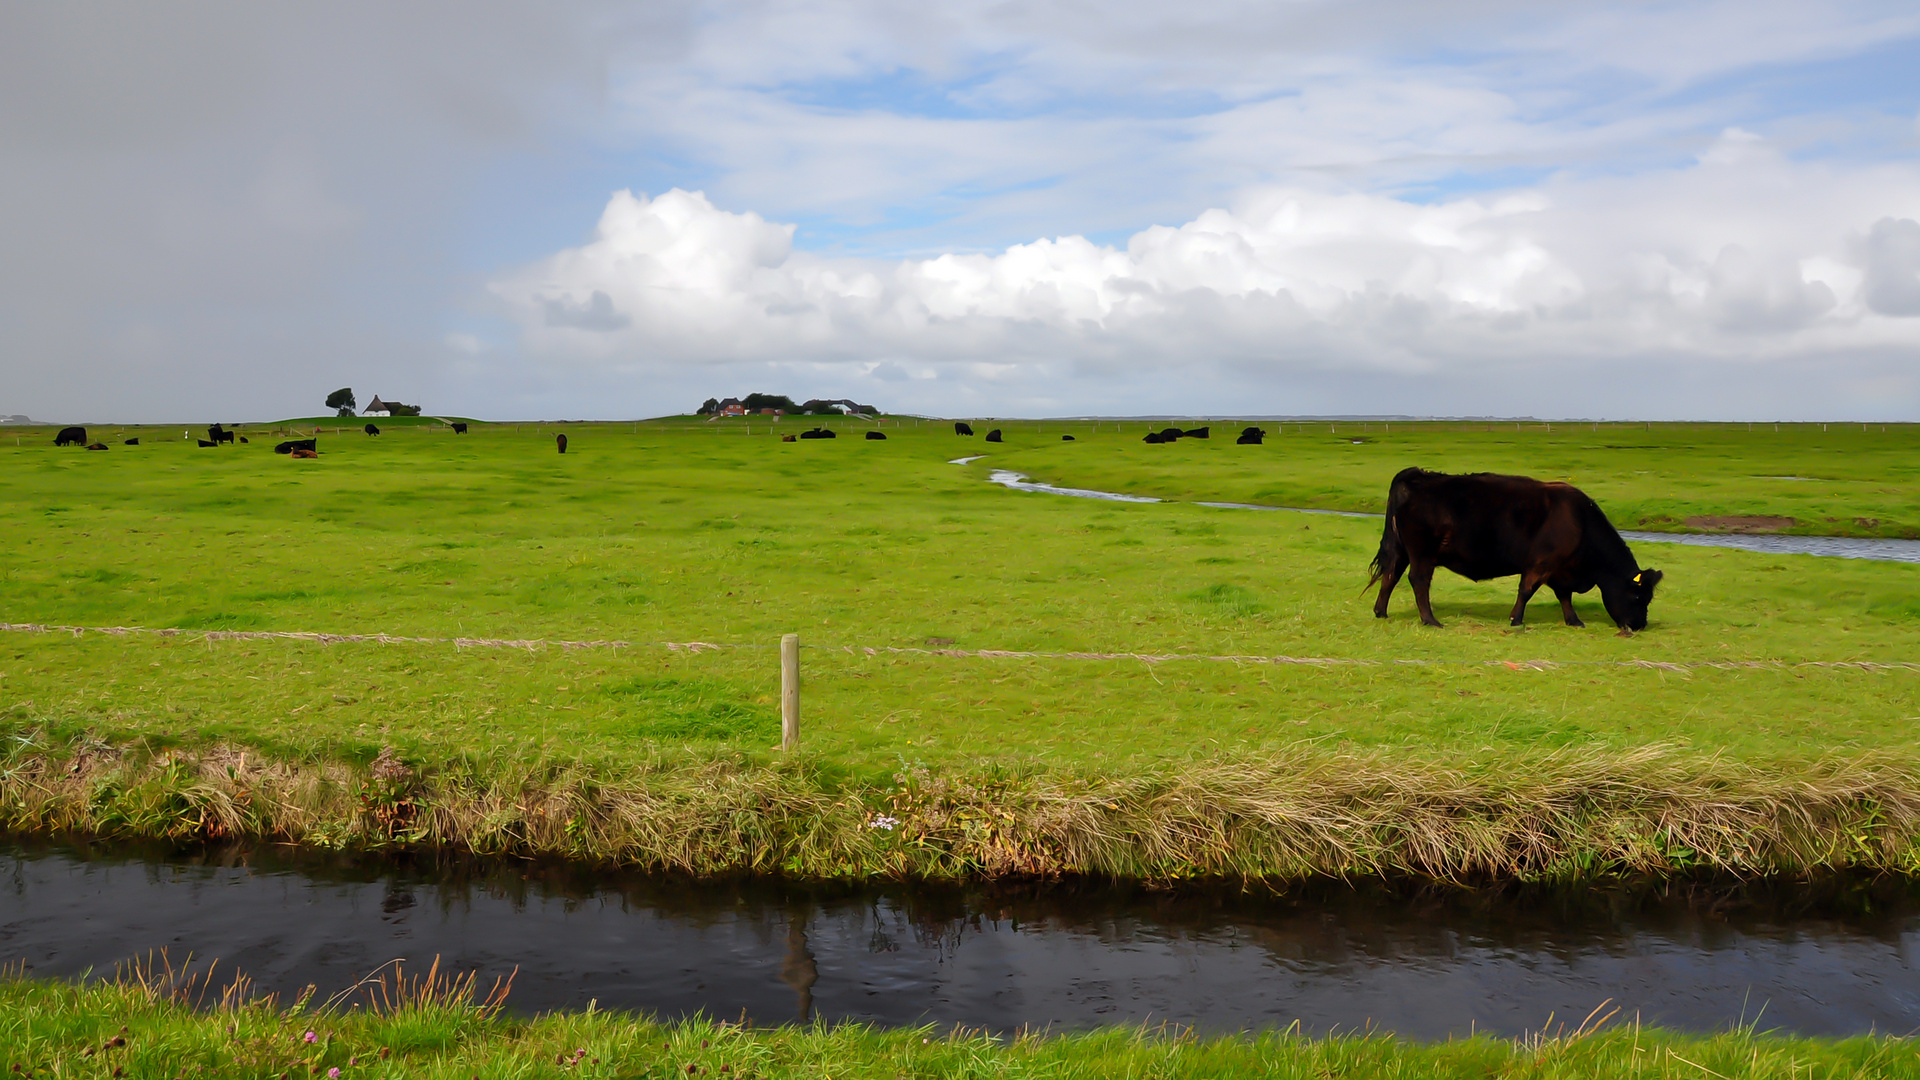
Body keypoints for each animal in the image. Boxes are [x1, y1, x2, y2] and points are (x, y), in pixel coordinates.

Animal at [1367, 465, 1666, 630]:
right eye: (1637, 596)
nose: (1640, 626)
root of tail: (1419, 476)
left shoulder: (1561, 570)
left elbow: (1564, 596)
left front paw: (1574, 620)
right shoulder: (1541, 563)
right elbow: (1527, 590)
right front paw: (1516, 619)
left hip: (1401, 551)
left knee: (1390, 576)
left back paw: (1381, 612)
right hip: (1422, 553)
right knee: (1418, 581)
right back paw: (1430, 620)